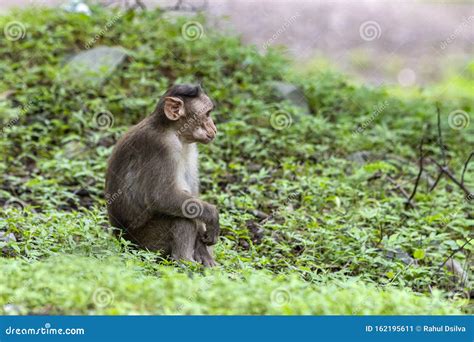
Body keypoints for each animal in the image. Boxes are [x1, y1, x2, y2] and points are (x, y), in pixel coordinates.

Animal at [104, 85, 219, 268]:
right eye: (207, 114)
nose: (214, 128)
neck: (173, 131)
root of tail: (121, 239)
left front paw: (203, 249)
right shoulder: (161, 146)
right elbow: (162, 197)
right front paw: (212, 214)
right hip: (145, 245)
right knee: (183, 214)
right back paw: (184, 262)